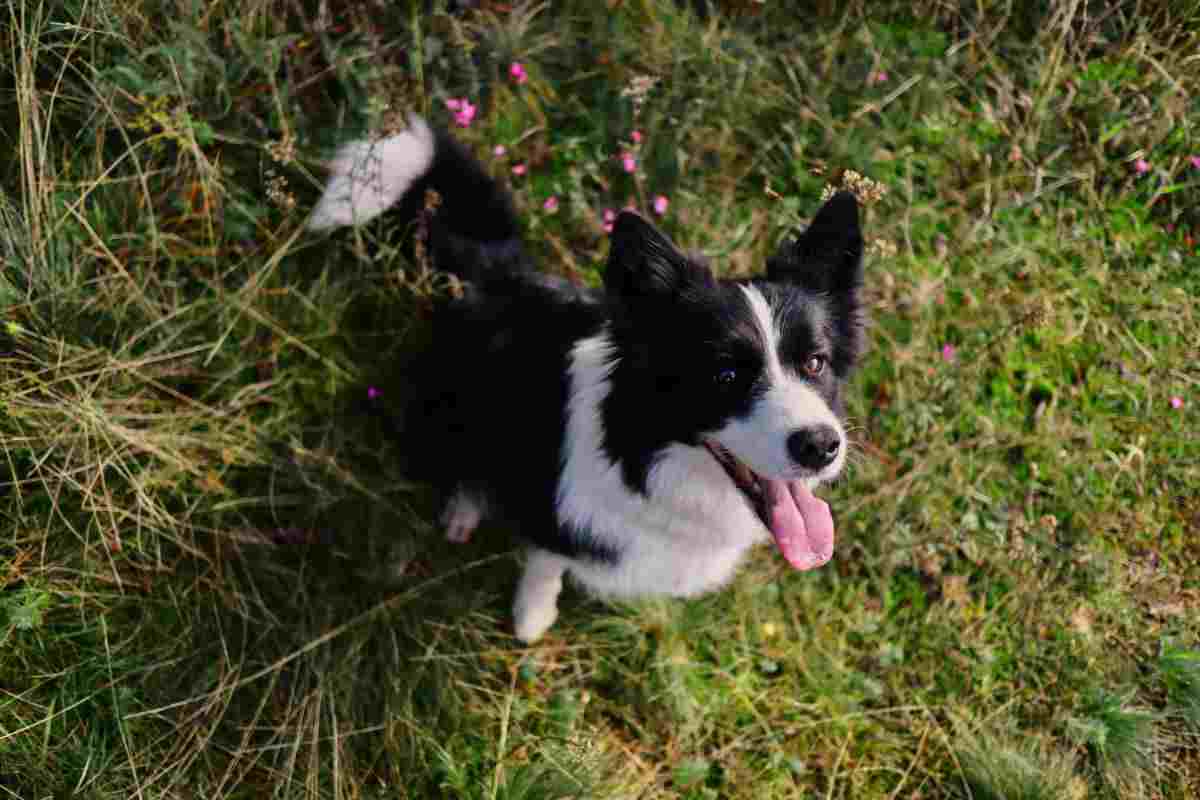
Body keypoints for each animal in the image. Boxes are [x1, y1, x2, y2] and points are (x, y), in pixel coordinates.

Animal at [309, 115, 864, 642]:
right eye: (725, 374)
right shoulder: (554, 514)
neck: (644, 461)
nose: (821, 446)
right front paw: (531, 619)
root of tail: (500, 273)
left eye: (815, 363)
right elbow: (546, 562)